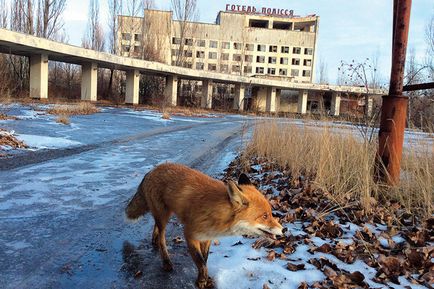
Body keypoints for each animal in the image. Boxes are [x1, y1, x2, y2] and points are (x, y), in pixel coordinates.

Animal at [124, 163, 284, 286]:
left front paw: (207, 279)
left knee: (156, 227)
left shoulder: (207, 237)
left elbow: (205, 259)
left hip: (164, 215)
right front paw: (201, 281)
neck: (217, 213)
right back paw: (166, 261)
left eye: (270, 213)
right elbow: (200, 261)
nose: (284, 230)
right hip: (163, 216)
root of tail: (152, 170)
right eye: (265, 216)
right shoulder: (190, 235)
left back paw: (154, 240)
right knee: (162, 238)